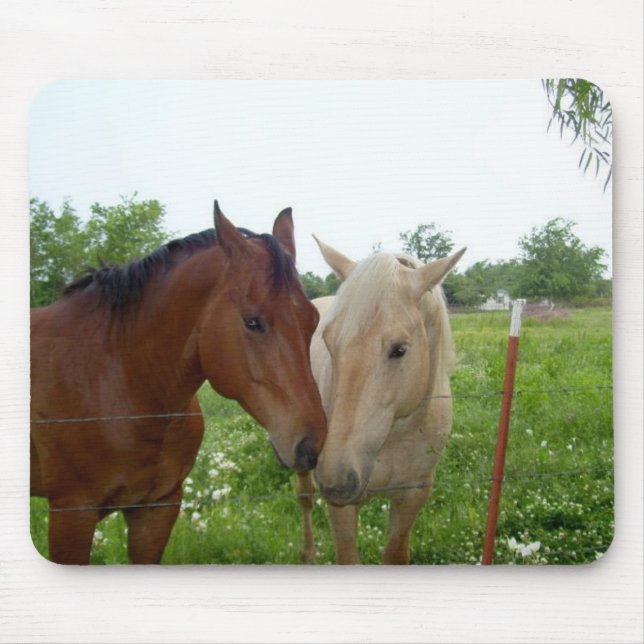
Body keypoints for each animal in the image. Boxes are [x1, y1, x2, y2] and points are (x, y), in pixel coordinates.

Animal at [296, 238, 465, 564]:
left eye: (399, 349)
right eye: (329, 342)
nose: (336, 479)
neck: (395, 436)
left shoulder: (413, 496)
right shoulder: (343, 509)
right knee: (305, 498)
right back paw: (309, 552)